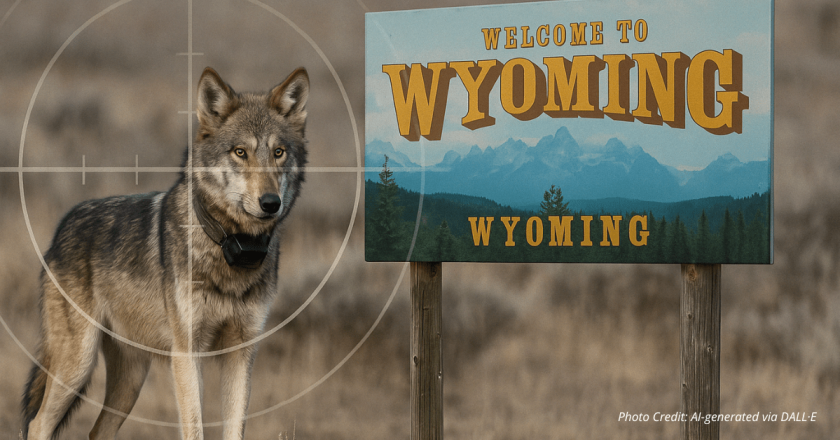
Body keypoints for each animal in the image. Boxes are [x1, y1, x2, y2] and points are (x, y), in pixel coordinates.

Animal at [21, 66, 309, 440]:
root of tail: (62, 227)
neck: (229, 247)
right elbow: (195, 428)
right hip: (78, 364)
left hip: (130, 379)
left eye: (279, 152)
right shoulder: (186, 354)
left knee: (97, 431)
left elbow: (234, 429)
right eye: (240, 152)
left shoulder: (242, 352)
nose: (270, 203)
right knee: (38, 423)